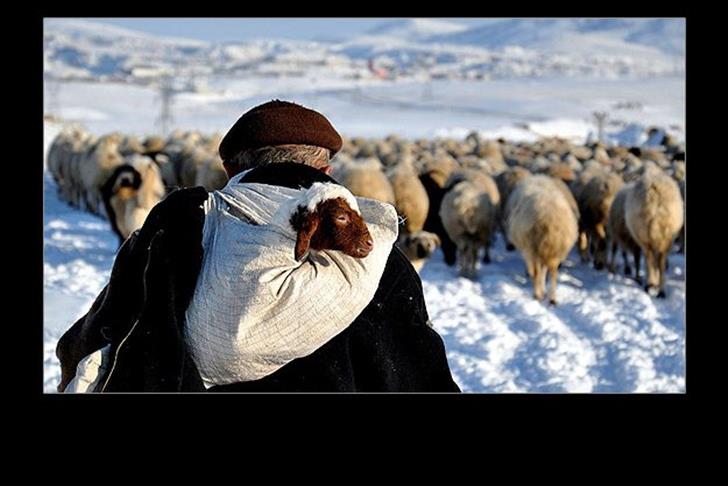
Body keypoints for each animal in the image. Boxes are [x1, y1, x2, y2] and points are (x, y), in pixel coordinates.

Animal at [505, 175, 579, 304]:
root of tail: (548, 218)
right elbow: (544, 271)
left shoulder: (532, 250)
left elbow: (537, 272)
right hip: (554, 248)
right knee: (553, 272)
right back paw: (552, 298)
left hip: (534, 247)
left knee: (537, 272)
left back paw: (537, 294)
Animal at [624, 163, 684, 298]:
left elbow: (650, 261)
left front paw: (652, 283)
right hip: (667, 236)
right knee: (661, 261)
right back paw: (661, 290)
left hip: (645, 235)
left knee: (651, 259)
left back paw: (650, 285)